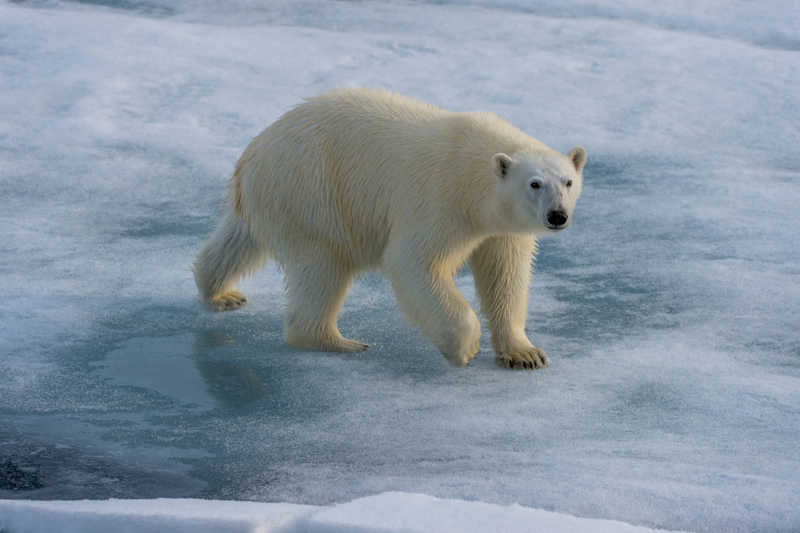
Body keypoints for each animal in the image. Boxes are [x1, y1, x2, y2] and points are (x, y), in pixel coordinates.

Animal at [191, 88, 584, 370]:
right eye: (534, 184)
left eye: (568, 181)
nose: (557, 216)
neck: (473, 175)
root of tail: (252, 155)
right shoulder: (439, 198)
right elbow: (416, 263)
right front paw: (464, 348)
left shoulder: (501, 227)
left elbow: (505, 275)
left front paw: (525, 354)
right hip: (312, 191)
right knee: (323, 265)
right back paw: (339, 342)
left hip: (274, 199)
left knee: (237, 239)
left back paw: (221, 294)